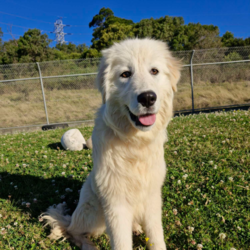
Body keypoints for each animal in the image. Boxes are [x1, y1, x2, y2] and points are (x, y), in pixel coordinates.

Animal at [42, 37, 181, 250]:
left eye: (154, 71)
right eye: (125, 74)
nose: (148, 97)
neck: (135, 142)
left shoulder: (151, 198)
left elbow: (157, 237)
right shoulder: (116, 204)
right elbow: (121, 242)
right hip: (93, 211)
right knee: (73, 231)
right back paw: (88, 244)